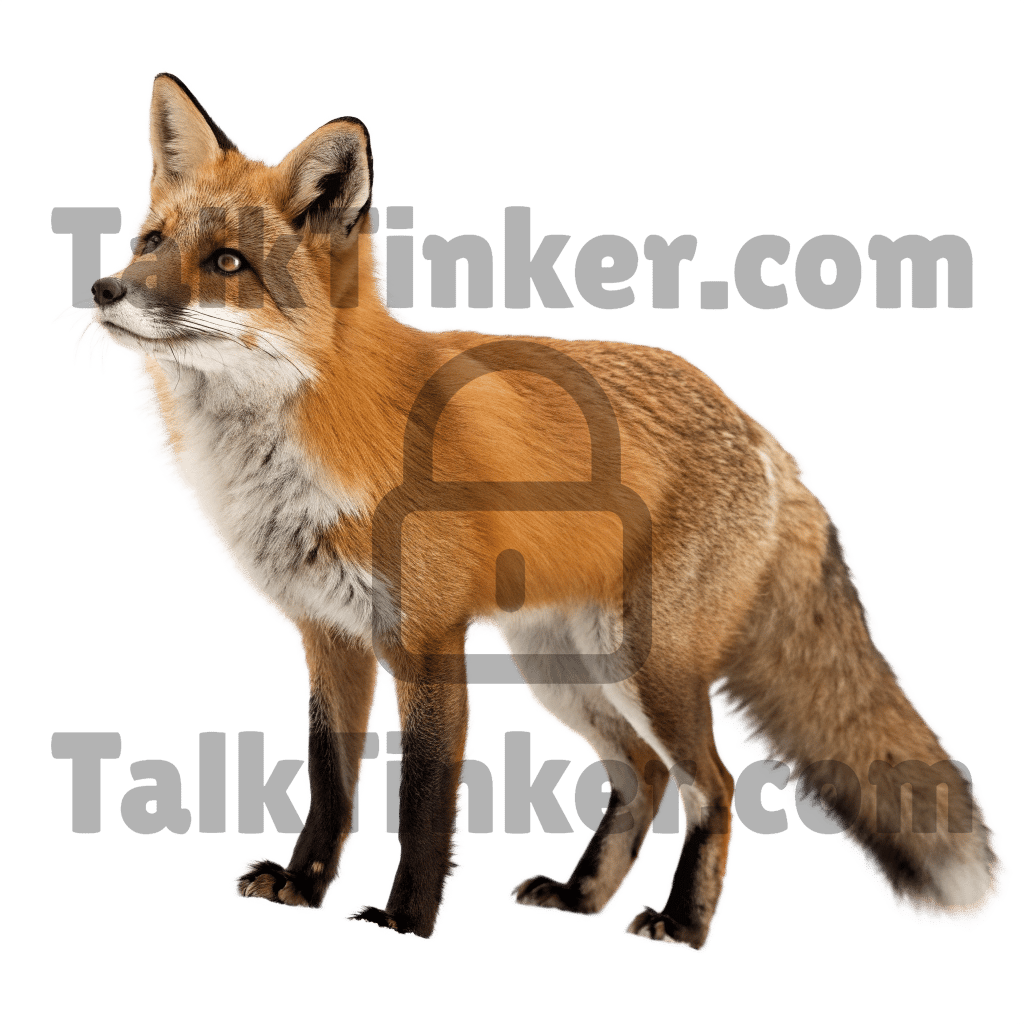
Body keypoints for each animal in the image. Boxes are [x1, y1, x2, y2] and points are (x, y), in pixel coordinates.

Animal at [58, 70, 1009, 948]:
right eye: (147, 242)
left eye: (227, 263)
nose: (103, 289)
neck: (308, 437)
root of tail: (762, 431)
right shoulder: (328, 636)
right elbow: (331, 784)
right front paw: (303, 888)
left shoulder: (428, 641)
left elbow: (426, 801)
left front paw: (405, 922)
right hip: (561, 667)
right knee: (644, 778)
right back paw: (583, 899)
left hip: (648, 664)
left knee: (714, 786)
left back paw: (684, 924)